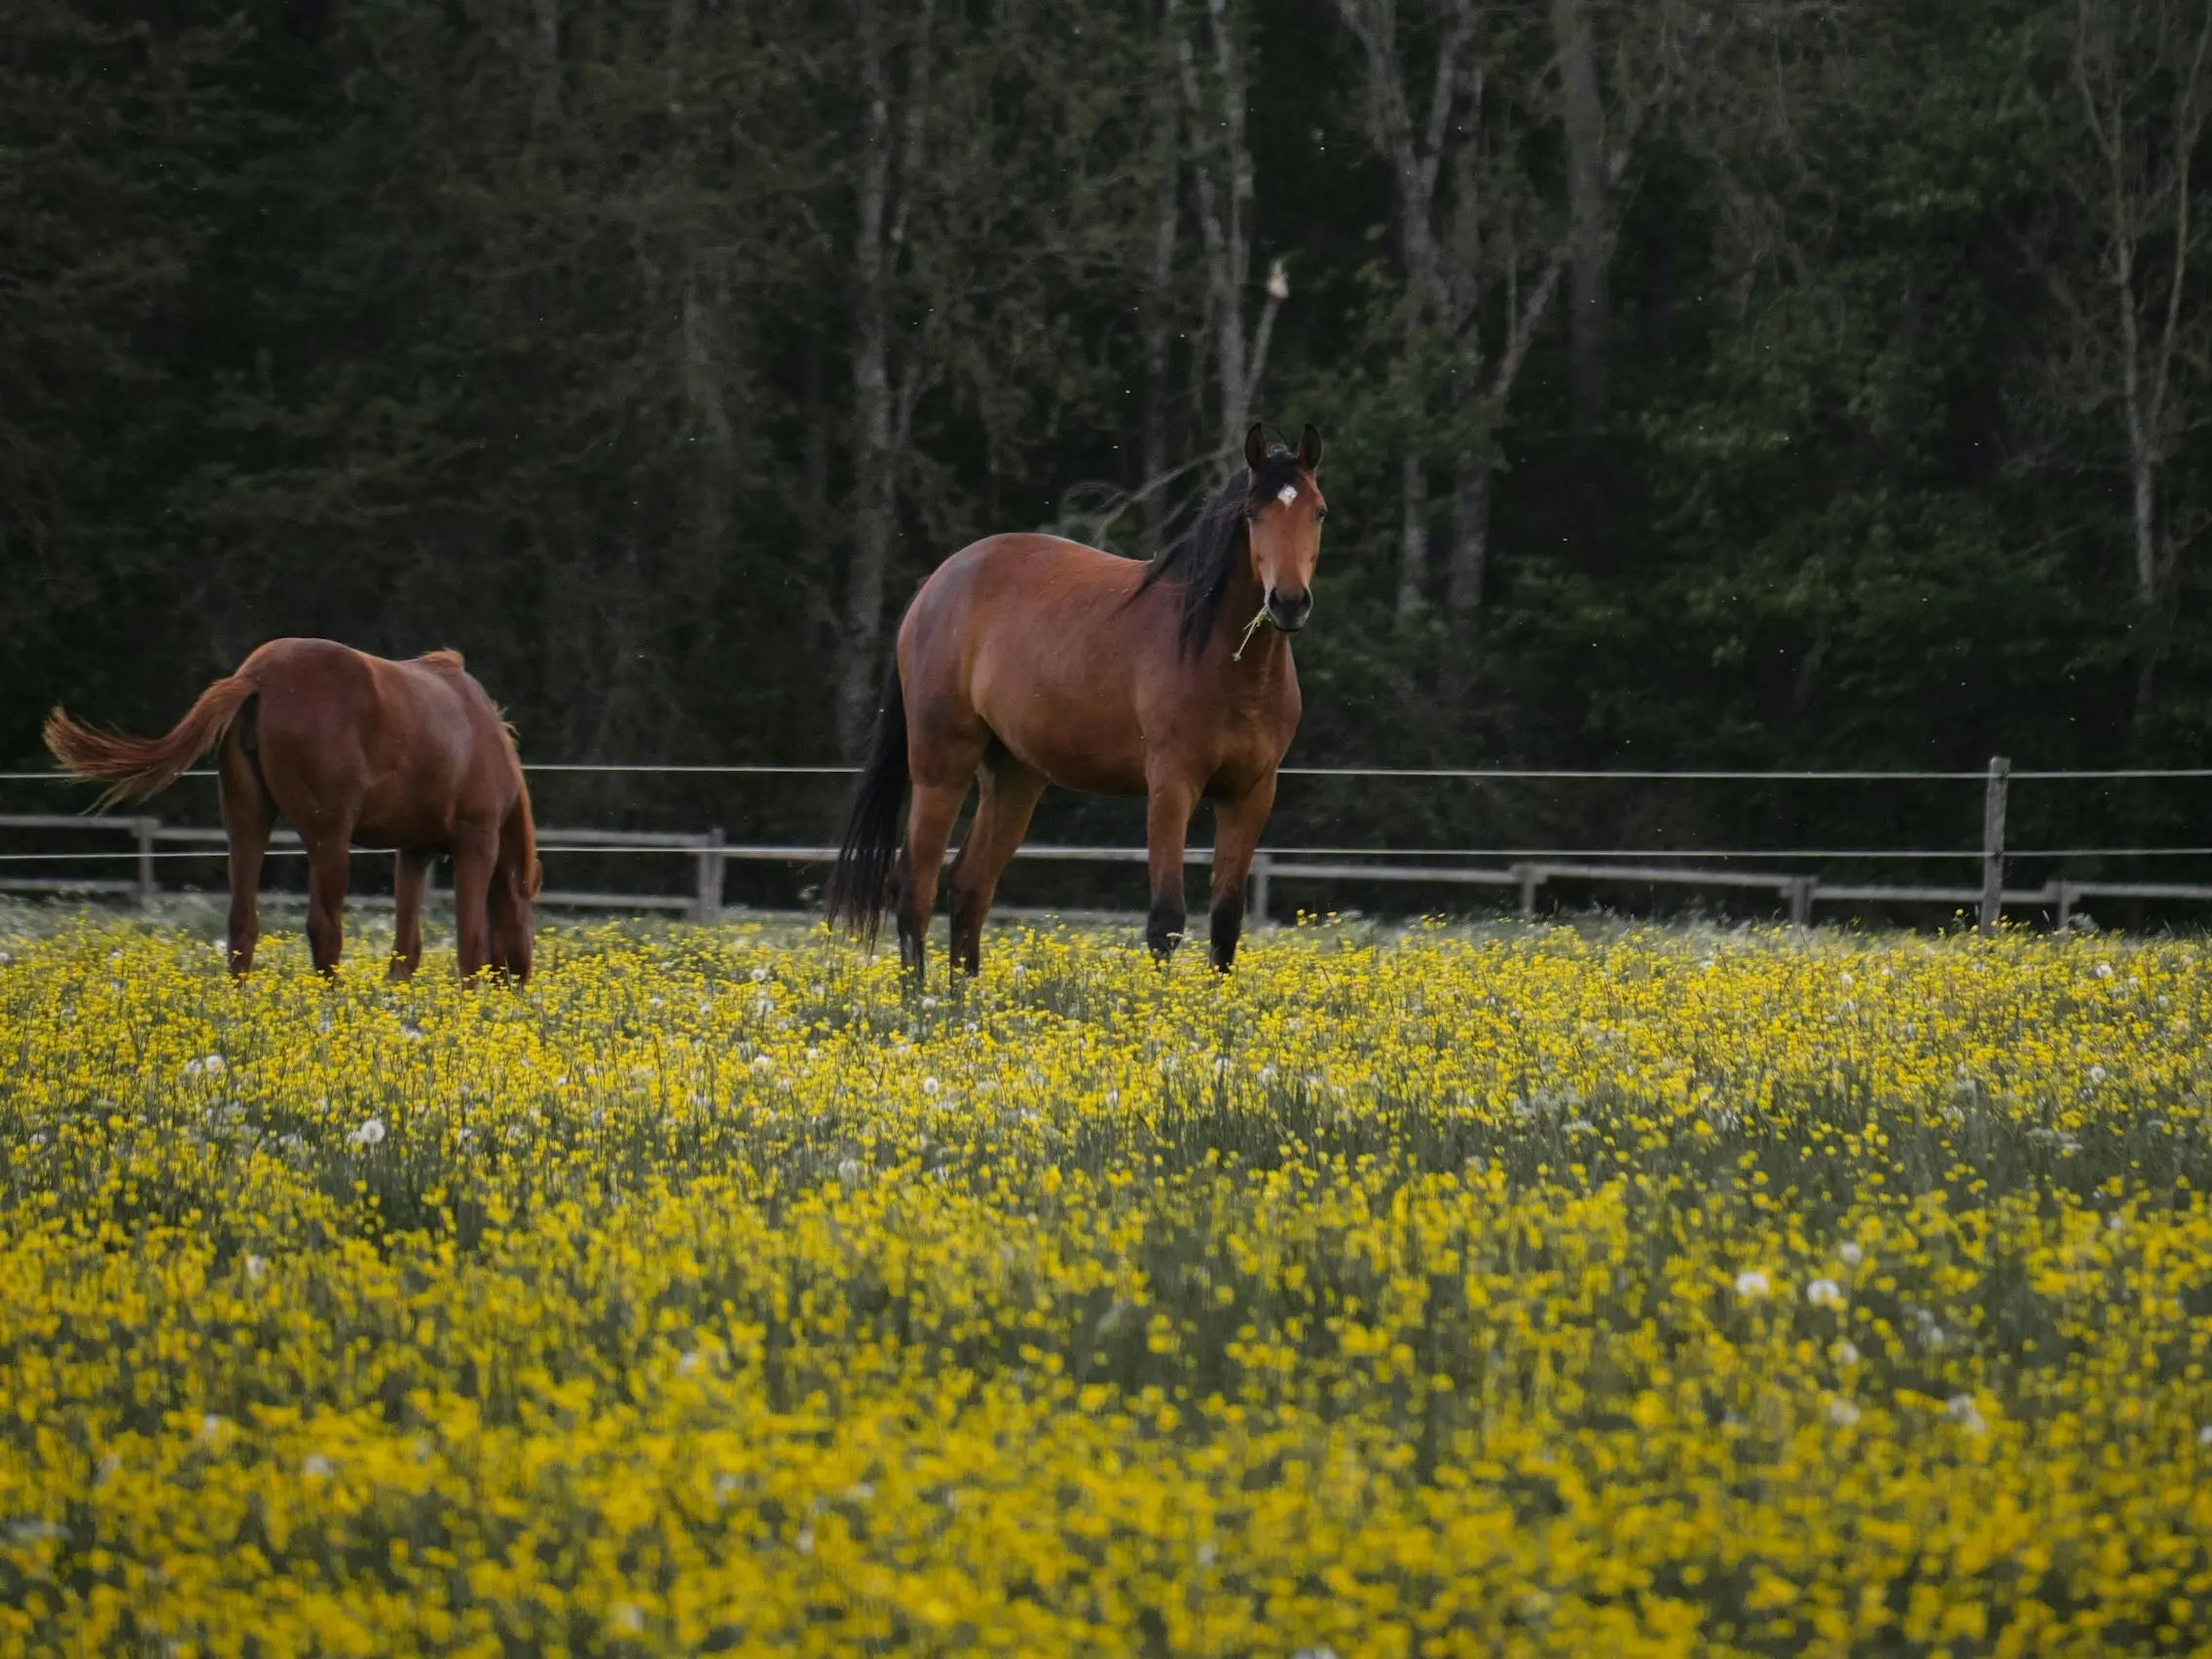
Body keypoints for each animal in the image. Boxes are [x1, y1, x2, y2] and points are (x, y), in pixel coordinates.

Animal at [45, 632, 537, 973]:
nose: (520, 984)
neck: (479, 726)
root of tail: (257, 677)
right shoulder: (476, 843)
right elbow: (470, 945)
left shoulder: (413, 852)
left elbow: (406, 950)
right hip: (328, 838)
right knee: (324, 929)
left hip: (247, 823)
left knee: (242, 924)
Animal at [823, 422, 1318, 981]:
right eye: (1253, 514)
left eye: (1318, 512)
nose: (1289, 602)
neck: (1222, 658)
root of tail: (937, 583)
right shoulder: (1171, 785)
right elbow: (1166, 922)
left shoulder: (1251, 794)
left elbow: (1226, 926)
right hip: (941, 766)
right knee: (914, 886)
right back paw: (920, 998)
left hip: (1014, 776)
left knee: (969, 886)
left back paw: (963, 999)